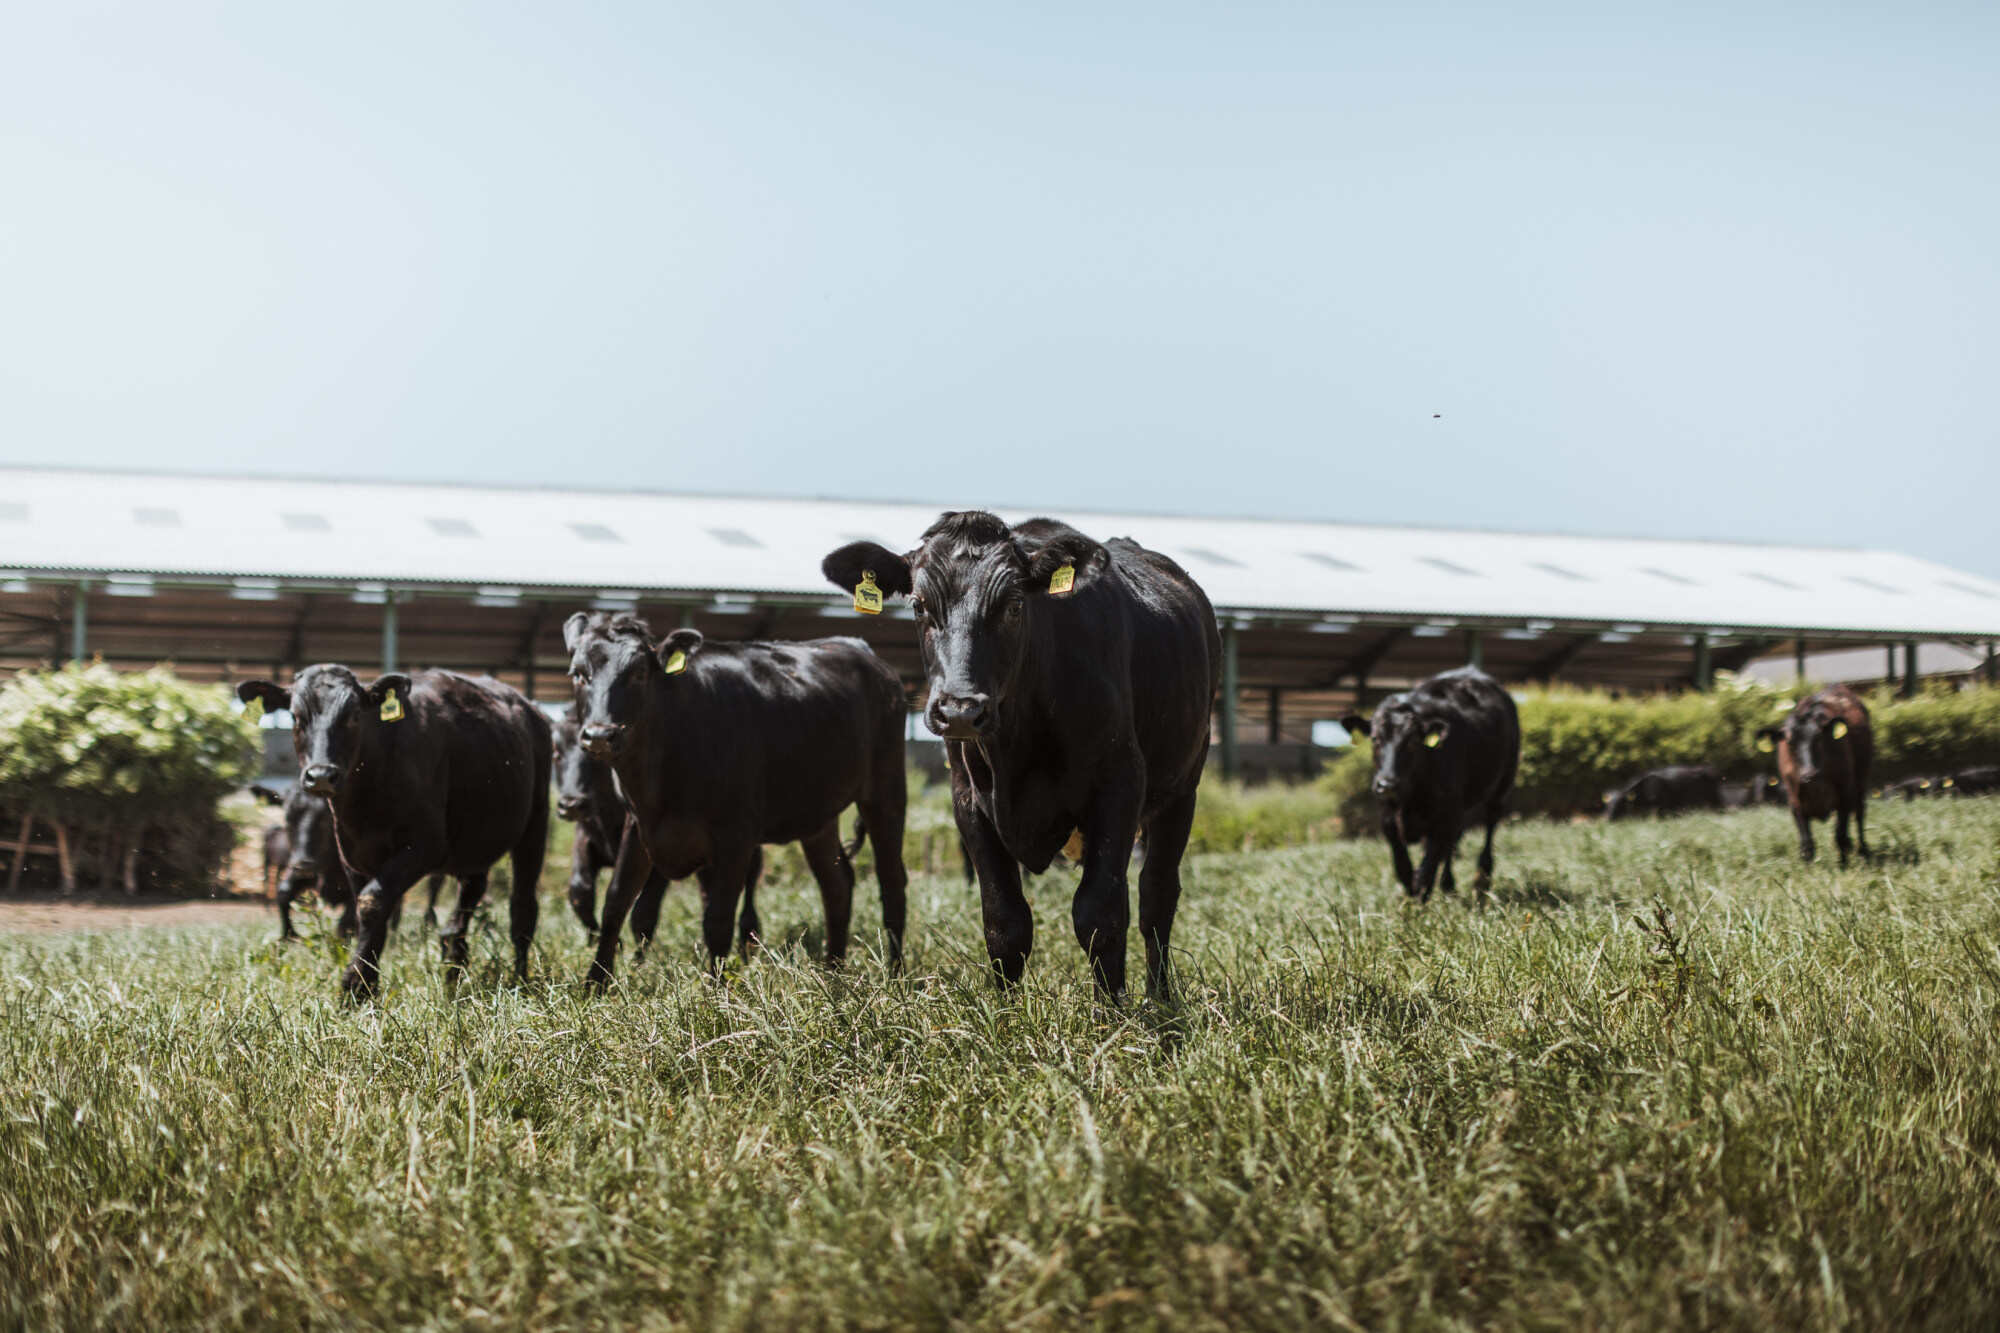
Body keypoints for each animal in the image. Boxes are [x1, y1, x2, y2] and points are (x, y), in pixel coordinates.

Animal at [236, 667, 550, 999]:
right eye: (296, 716)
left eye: (354, 715)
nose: (321, 775)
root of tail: (530, 709)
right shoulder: (352, 855)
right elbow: (367, 912)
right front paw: (367, 984)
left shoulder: (425, 846)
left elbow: (371, 903)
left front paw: (354, 985)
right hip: (475, 841)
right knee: (469, 897)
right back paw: (454, 969)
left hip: (535, 824)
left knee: (523, 908)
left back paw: (520, 980)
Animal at [551, 706, 763, 953]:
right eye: (556, 753)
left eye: (597, 760)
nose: (571, 804)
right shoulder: (586, 837)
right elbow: (580, 893)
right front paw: (608, 942)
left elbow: (643, 914)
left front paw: (637, 959)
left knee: (749, 882)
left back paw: (749, 939)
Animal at [822, 511, 1219, 998]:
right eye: (918, 605)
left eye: (1013, 605)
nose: (960, 709)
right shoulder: (969, 800)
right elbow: (1005, 922)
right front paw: (1005, 1013)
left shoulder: (1120, 783)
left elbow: (1099, 914)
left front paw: (1113, 1012)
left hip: (1183, 786)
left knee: (1157, 895)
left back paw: (1160, 998)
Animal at [1341, 667, 1520, 905]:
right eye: (1375, 739)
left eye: (1412, 742)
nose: (1387, 783)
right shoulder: (1388, 818)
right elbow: (1403, 865)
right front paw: (1411, 895)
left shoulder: (1444, 816)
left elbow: (1429, 864)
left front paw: (1420, 898)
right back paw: (1449, 886)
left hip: (1502, 785)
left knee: (1489, 827)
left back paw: (1481, 881)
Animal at [1754, 684, 1872, 865]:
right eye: (1790, 742)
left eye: (1818, 738)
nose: (1809, 774)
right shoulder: (1795, 801)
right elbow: (1807, 843)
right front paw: (1808, 868)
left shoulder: (1845, 792)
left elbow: (1840, 834)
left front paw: (1843, 865)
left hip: (1861, 781)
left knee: (1859, 814)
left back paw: (1863, 851)